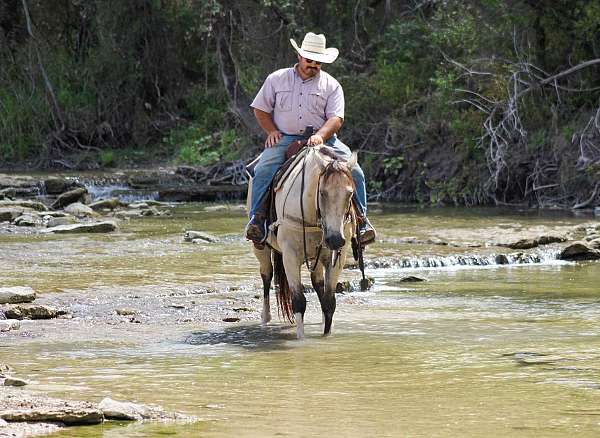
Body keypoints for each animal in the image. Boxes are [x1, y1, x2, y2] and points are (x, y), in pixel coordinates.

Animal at [247, 143, 356, 338]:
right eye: (323, 193)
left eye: (350, 194)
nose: (335, 239)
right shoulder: (290, 256)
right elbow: (298, 301)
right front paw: (301, 340)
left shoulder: (337, 257)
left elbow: (329, 302)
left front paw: (327, 335)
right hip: (260, 247)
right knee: (266, 275)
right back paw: (265, 318)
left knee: (317, 282)